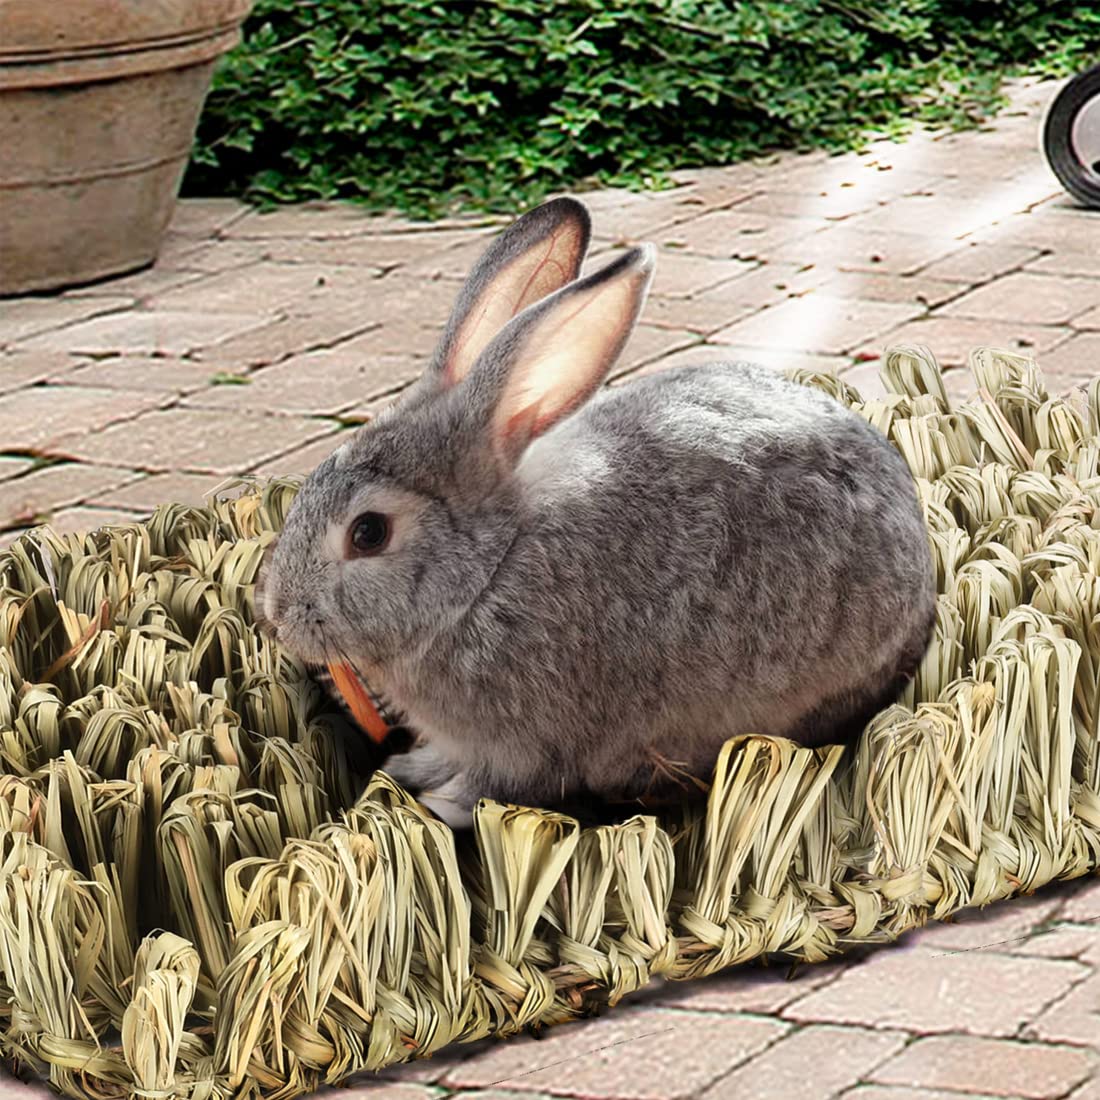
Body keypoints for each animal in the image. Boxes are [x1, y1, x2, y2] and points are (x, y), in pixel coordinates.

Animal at [256, 195, 937, 829]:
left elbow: (495, 786)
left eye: (369, 533)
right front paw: (409, 768)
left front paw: (439, 805)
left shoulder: (524, 746)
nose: (278, 616)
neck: (486, 575)